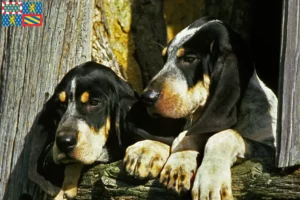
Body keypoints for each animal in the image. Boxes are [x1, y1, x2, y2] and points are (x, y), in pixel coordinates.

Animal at [123, 16, 278, 199]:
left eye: (189, 59)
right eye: (164, 59)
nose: (147, 97)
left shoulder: (271, 151)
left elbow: (223, 134)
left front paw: (209, 180)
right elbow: (187, 134)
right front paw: (162, 154)